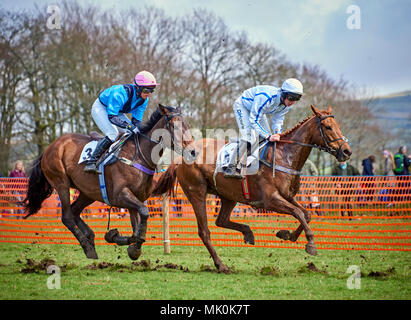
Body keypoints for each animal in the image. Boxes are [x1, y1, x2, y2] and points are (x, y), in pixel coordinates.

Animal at [22, 104, 195, 260]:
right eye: (174, 125)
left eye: (187, 125)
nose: (193, 151)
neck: (138, 156)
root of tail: (50, 147)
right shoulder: (119, 196)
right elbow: (144, 213)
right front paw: (131, 245)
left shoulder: (135, 198)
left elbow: (137, 225)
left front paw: (125, 242)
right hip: (61, 184)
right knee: (67, 217)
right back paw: (87, 246)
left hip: (87, 192)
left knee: (75, 210)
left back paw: (90, 239)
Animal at [153, 105, 352, 272]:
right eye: (327, 127)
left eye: (337, 125)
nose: (347, 151)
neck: (283, 157)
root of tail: (181, 157)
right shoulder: (270, 200)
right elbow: (298, 213)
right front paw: (310, 244)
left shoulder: (288, 196)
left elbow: (306, 214)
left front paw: (288, 235)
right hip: (197, 193)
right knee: (205, 231)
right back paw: (221, 265)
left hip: (228, 196)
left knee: (221, 221)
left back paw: (248, 233)